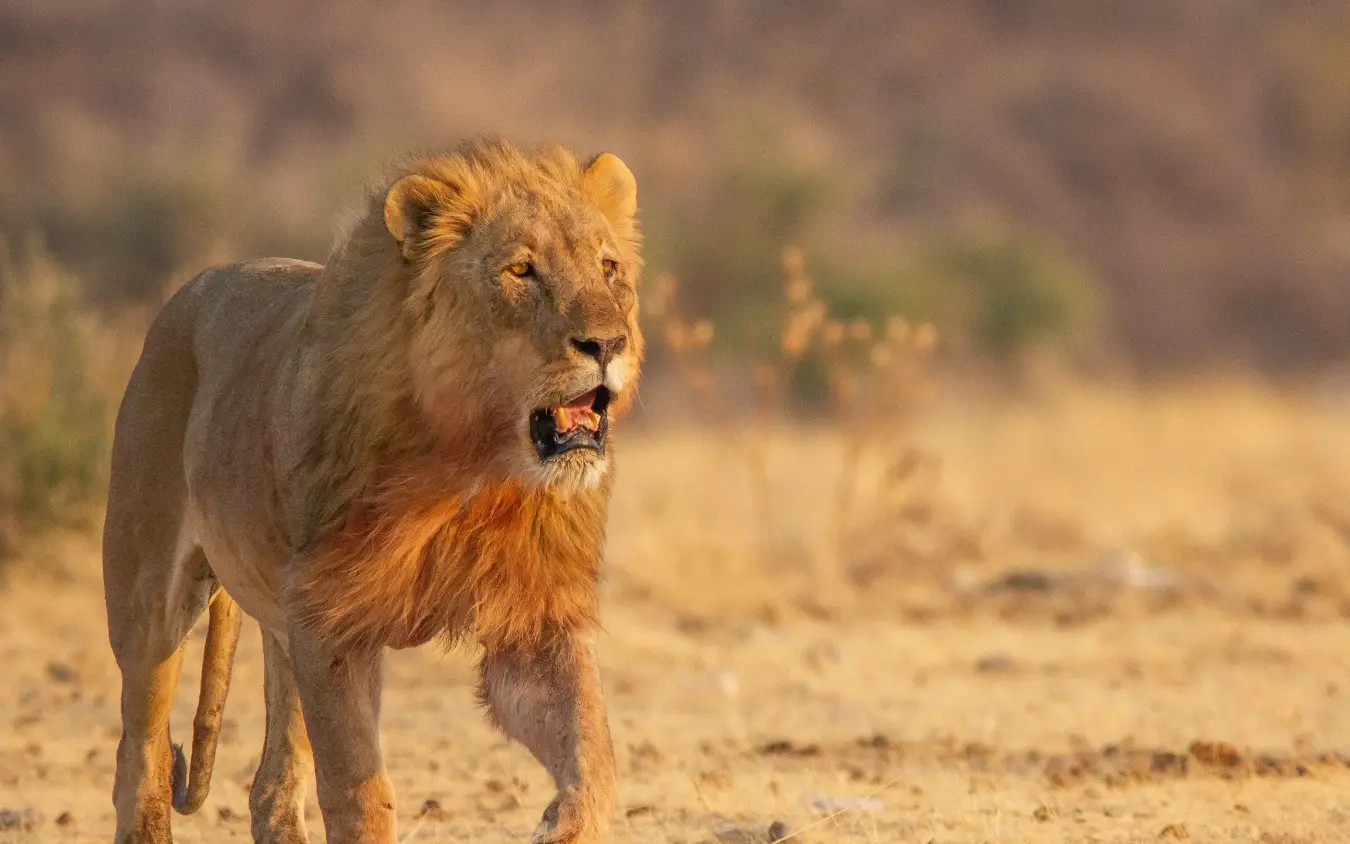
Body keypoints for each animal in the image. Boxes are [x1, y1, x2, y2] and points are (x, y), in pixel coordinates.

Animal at [102, 139, 643, 844]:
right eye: (522, 271)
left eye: (608, 268)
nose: (608, 343)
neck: (473, 462)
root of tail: (192, 288)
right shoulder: (333, 624)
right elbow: (358, 792)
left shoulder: (533, 621)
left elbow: (591, 750)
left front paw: (561, 824)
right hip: (148, 601)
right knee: (139, 755)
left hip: (283, 620)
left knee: (272, 782)